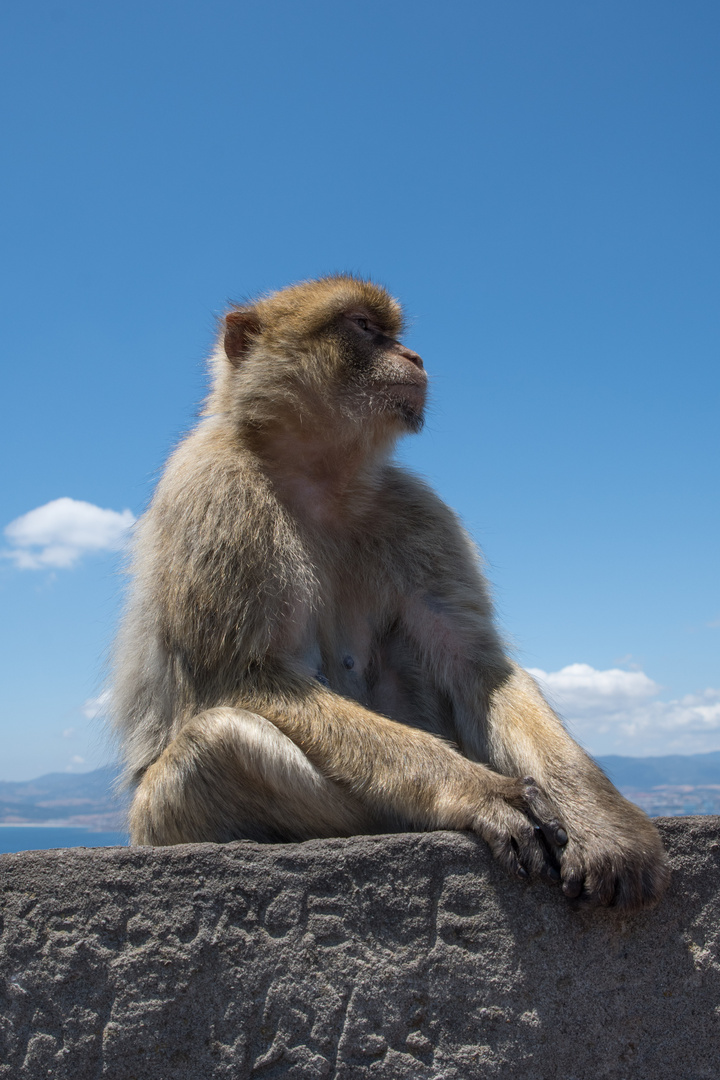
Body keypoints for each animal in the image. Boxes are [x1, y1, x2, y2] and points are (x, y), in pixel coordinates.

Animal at [112, 276, 669, 911]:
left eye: (394, 334)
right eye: (363, 327)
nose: (415, 356)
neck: (322, 477)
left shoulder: (416, 510)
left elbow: (475, 665)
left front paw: (601, 820)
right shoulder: (215, 491)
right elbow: (245, 676)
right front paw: (476, 791)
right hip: (156, 821)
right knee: (216, 743)